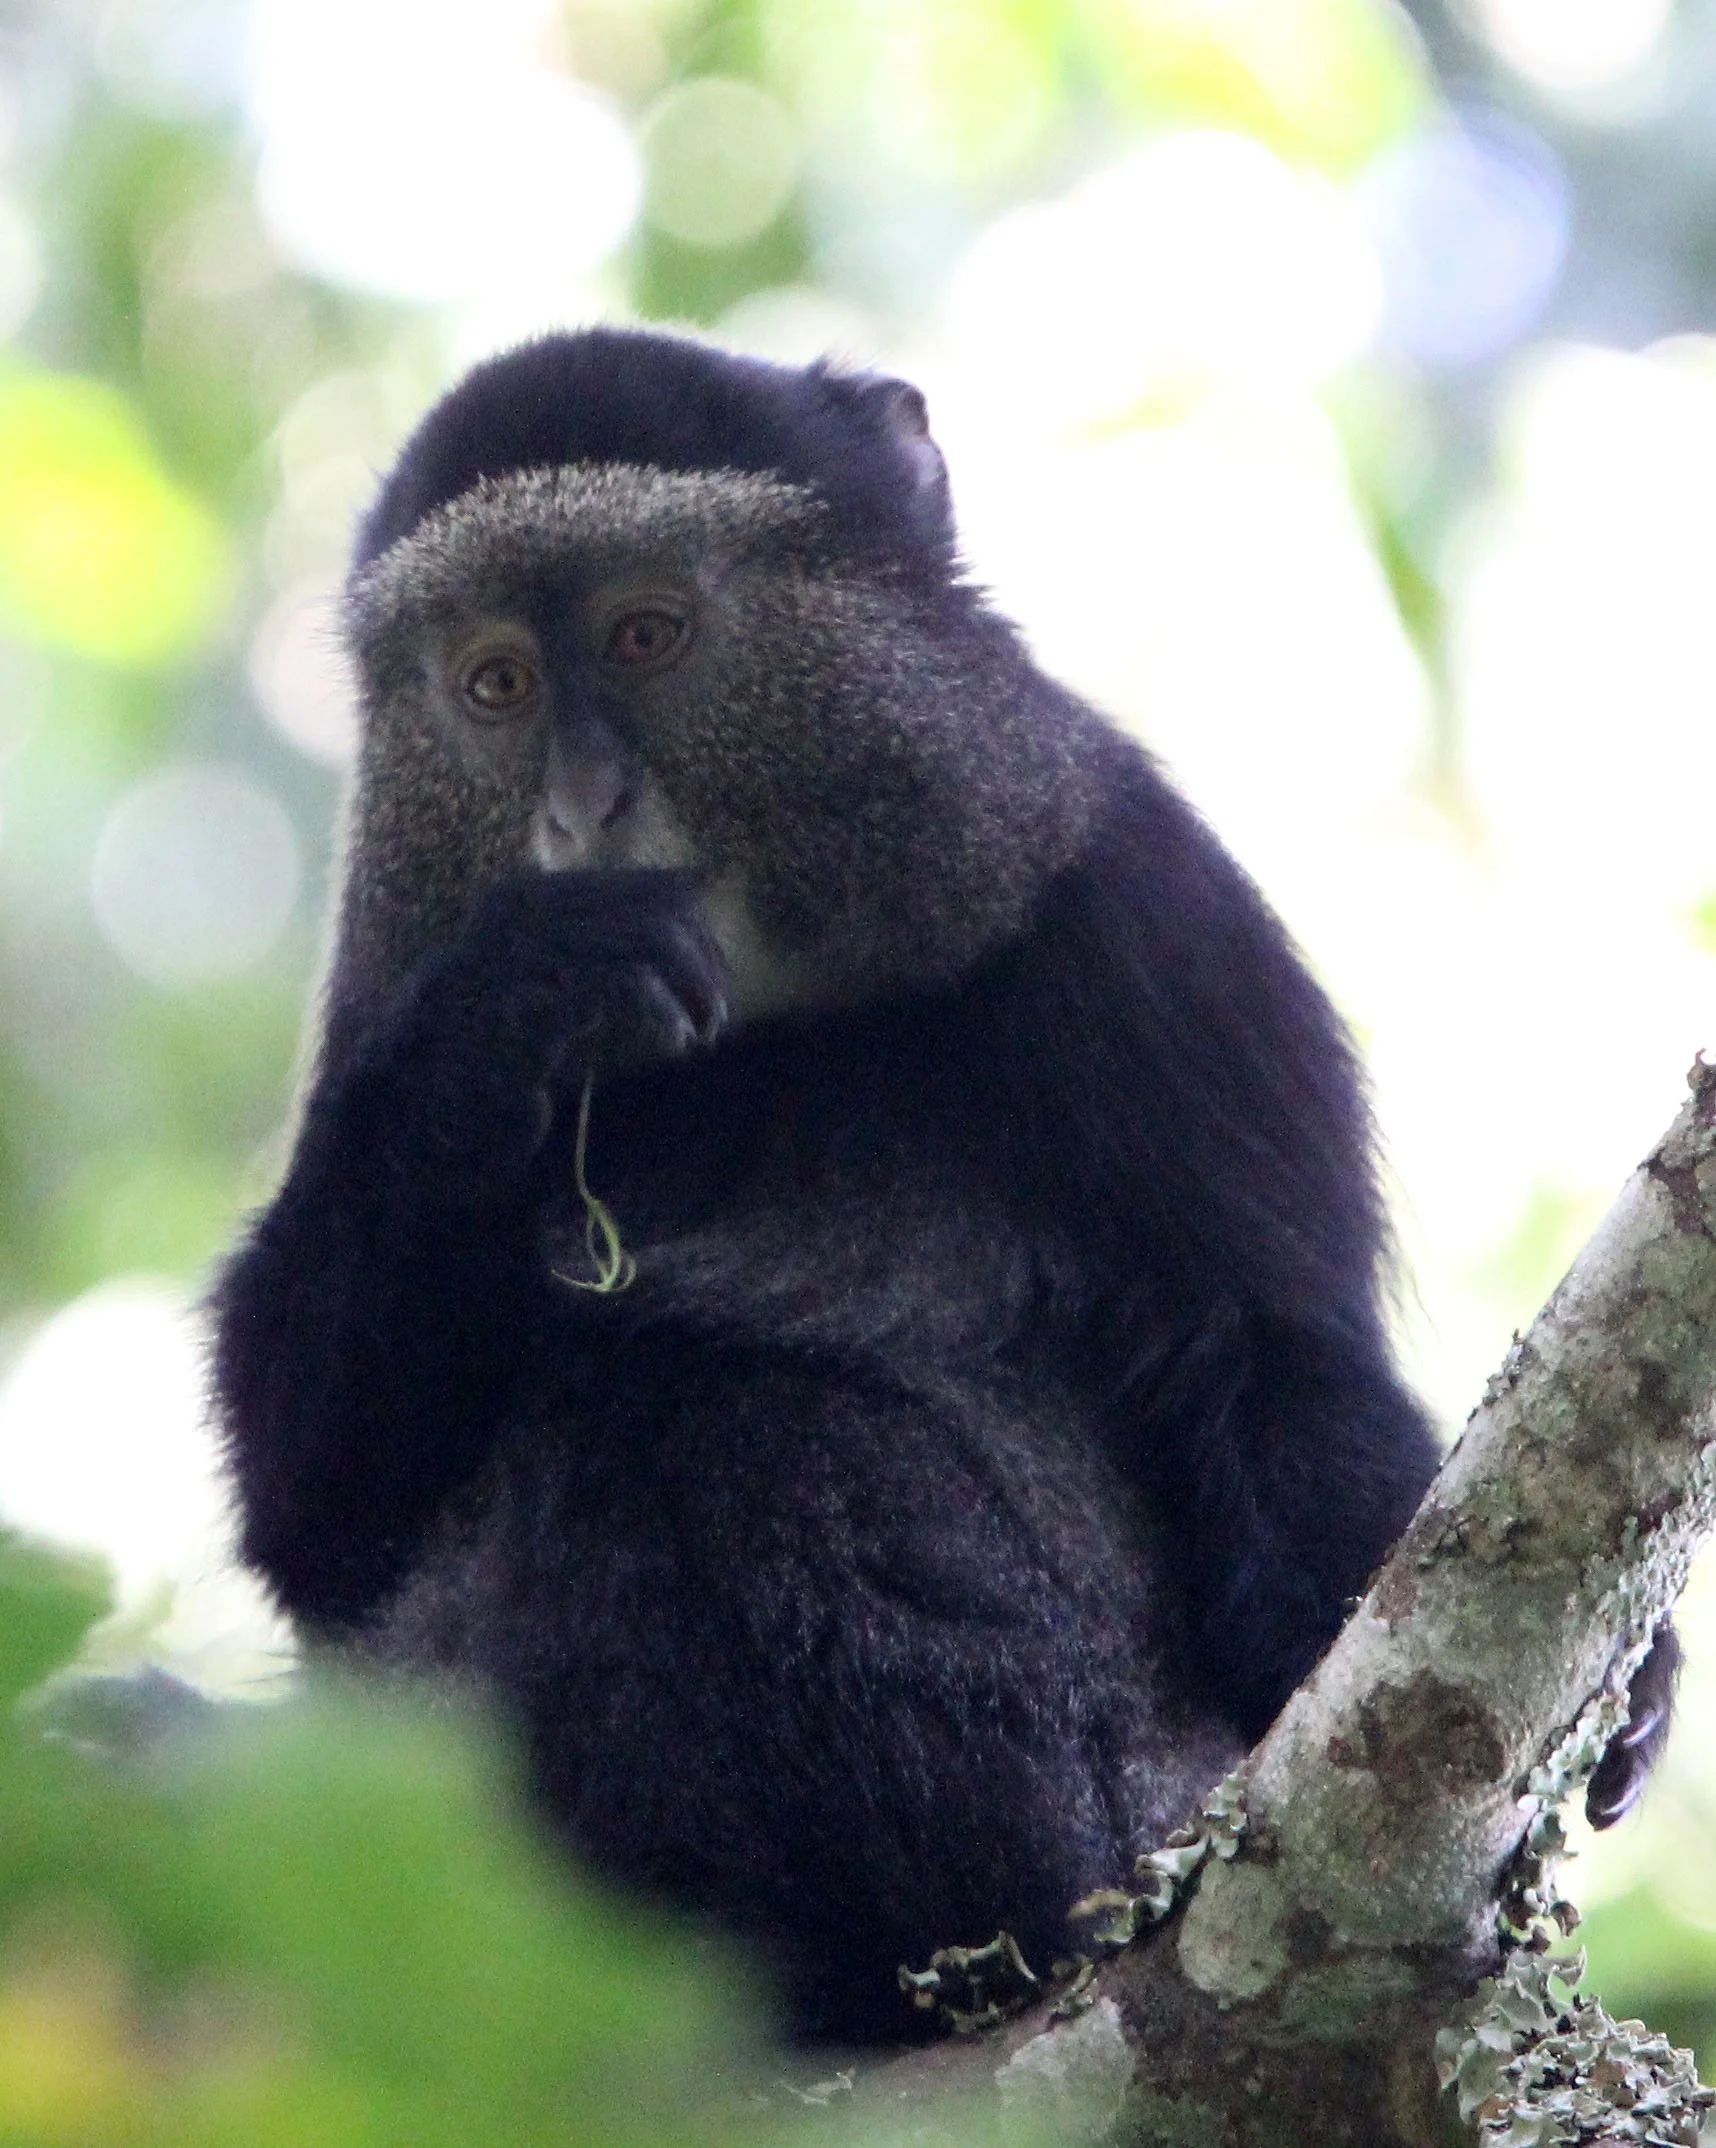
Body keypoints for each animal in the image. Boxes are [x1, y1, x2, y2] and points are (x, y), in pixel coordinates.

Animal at [212, 327, 1675, 2040]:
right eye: (494, 682)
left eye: (648, 634)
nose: (579, 812)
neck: (787, 1026)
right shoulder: (380, 988)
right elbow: (323, 1506)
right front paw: (524, 994)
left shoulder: (1150, 911)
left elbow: (1274, 1368)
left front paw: (1629, 1696)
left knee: (699, 1415)